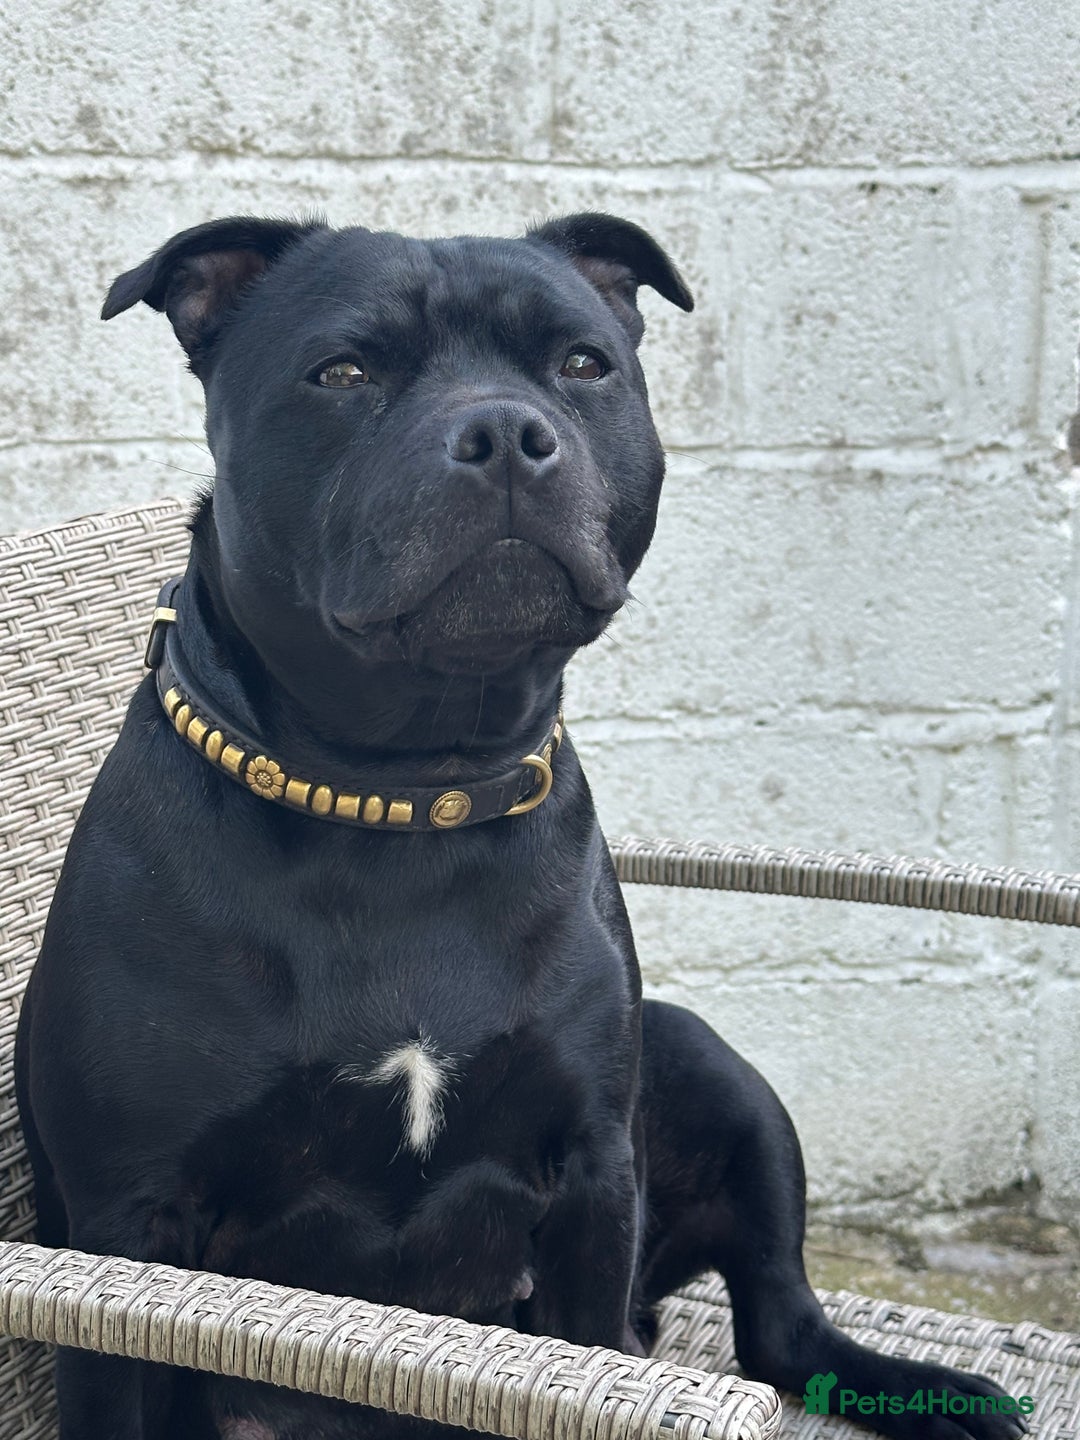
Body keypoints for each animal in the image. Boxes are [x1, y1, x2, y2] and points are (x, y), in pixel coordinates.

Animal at [15, 213, 1025, 1440]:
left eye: (583, 364)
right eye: (341, 372)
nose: (504, 432)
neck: (402, 794)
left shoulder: (591, 1180)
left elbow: (583, 1343)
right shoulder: (127, 1233)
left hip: (707, 1064)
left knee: (780, 1324)